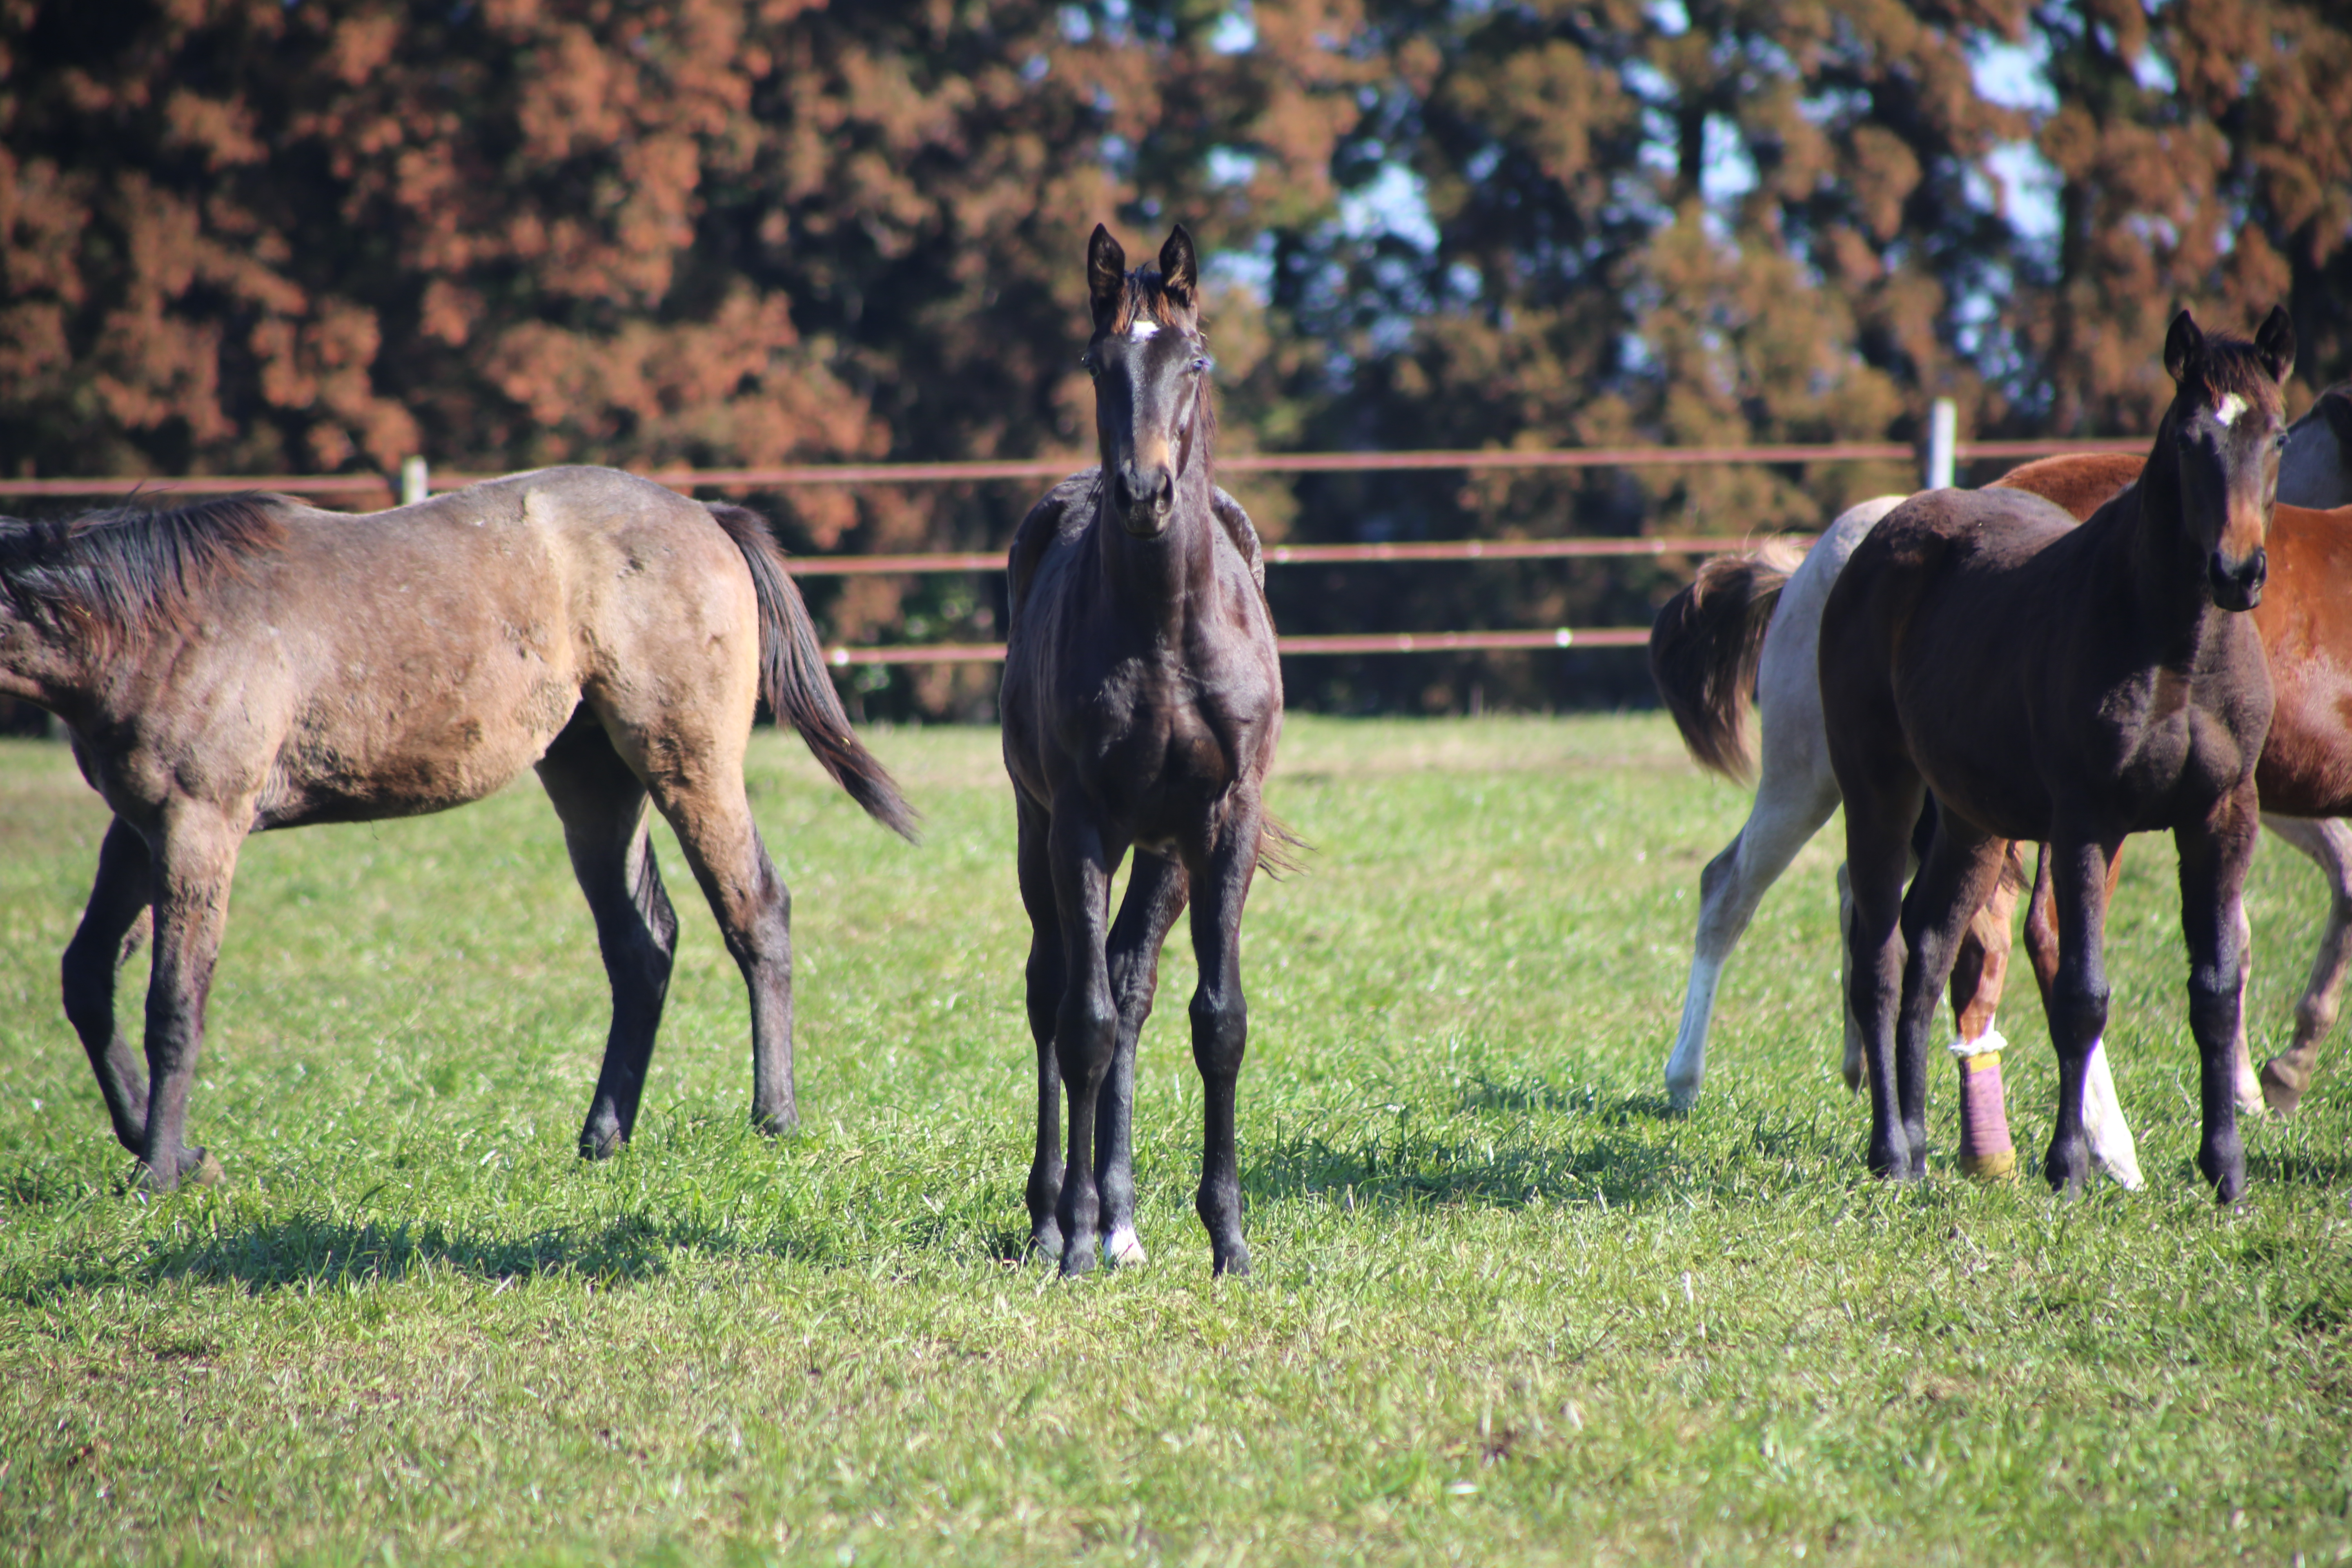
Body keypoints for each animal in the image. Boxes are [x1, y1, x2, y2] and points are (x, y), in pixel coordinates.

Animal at [0, 465, 917, 1189]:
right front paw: (175, 1152)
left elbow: (174, 1004)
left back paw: (774, 1119)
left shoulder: (200, 824)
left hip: (685, 761)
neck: (146, 624)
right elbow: (87, 977)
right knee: (642, 948)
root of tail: (710, 516)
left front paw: (161, 1170)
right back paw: (602, 1138)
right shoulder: (138, 828)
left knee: (755, 912)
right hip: (593, 781)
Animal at [997, 223, 1279, 1278]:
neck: (1165, 628)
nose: (1145, 492)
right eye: (1097, 365)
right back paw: (1057, 1217)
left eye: (1192, 362)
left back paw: (1120, 1218)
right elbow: (1081, 1024)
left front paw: (1229, 1237)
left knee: (1129, 978)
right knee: (1054, 988)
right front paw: (1072, 1238)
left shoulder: (1224, 821)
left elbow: (1217, 1020)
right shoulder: (1079, 819)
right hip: (1036, 829)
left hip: (1164, 852)